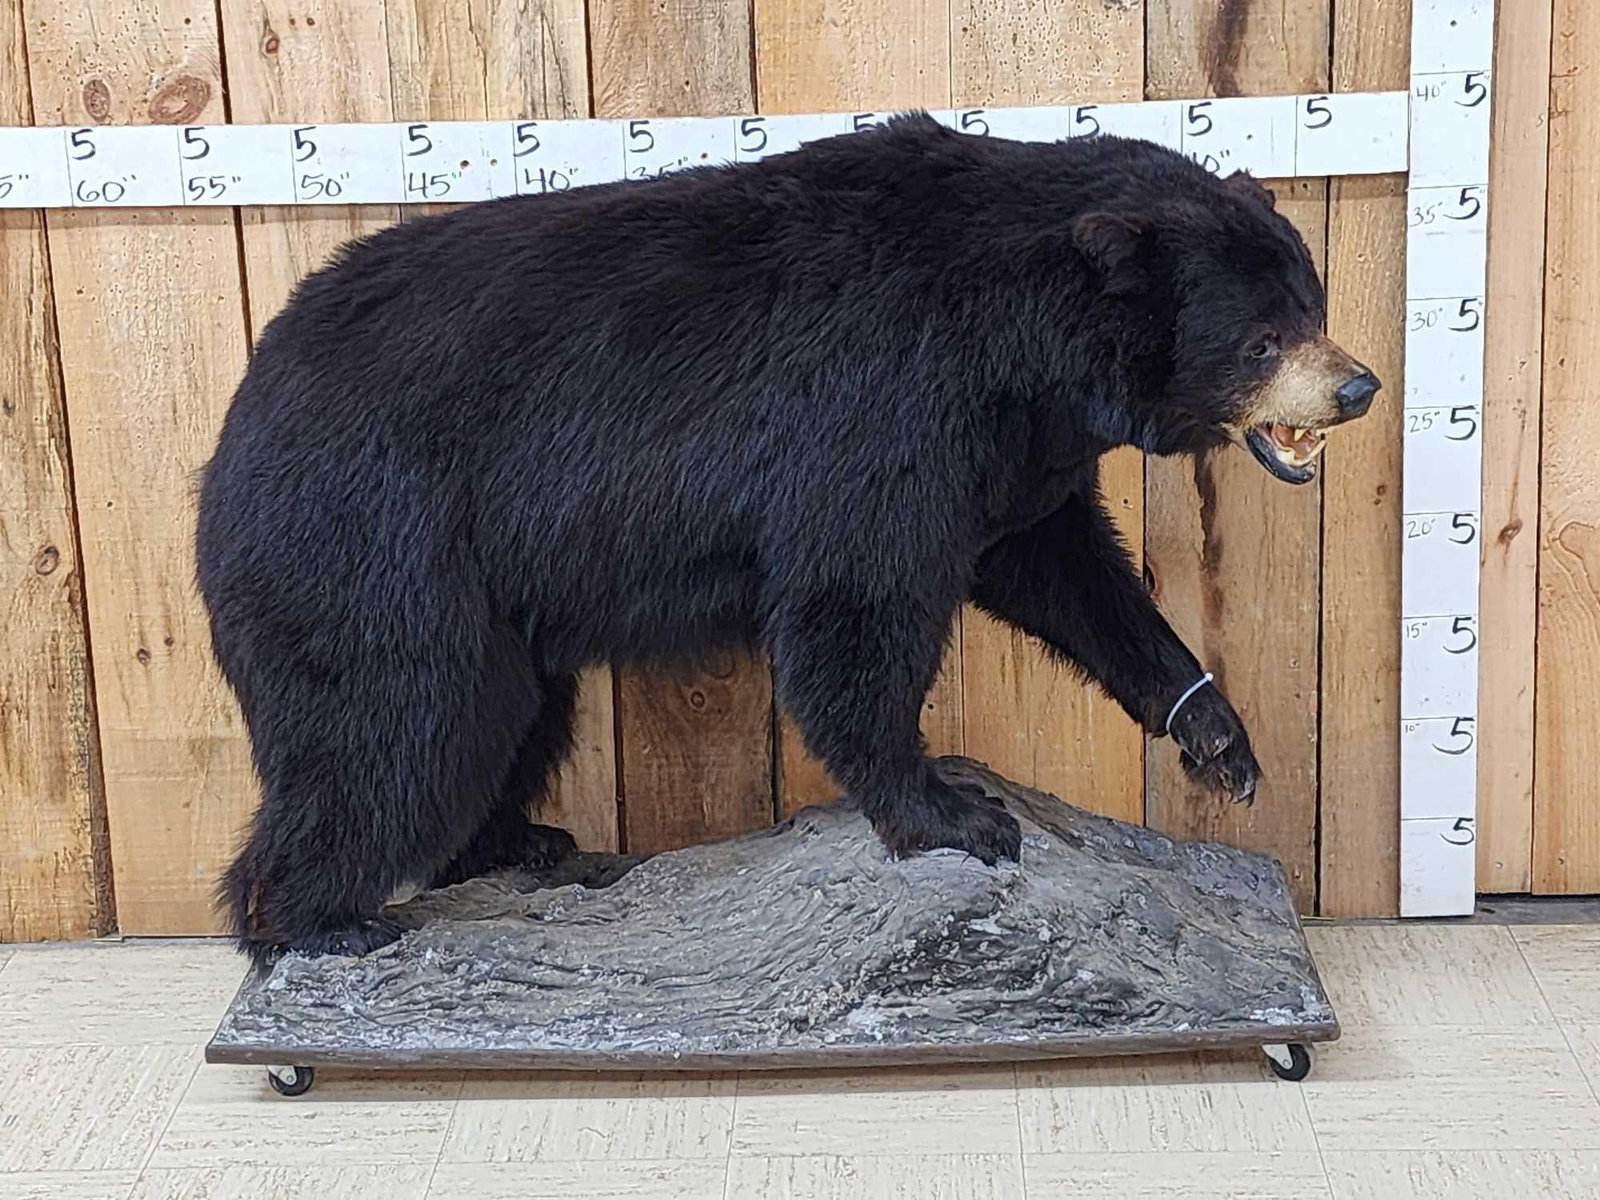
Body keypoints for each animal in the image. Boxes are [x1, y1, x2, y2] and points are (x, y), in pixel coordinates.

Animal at [196, 112, 1379, 965]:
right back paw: (316, 918)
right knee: (397, 720)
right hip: (374, 545)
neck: (1021, 344)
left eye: (1312, 302)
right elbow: (857, 602)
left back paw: (522, 842)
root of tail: (235, 420)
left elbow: (1067, 569)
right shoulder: (882, 407)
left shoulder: (1010, 450)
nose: (1357, 387)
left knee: (505, 716)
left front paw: (1216, 734)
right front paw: (953, 811)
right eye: (1260, 337)